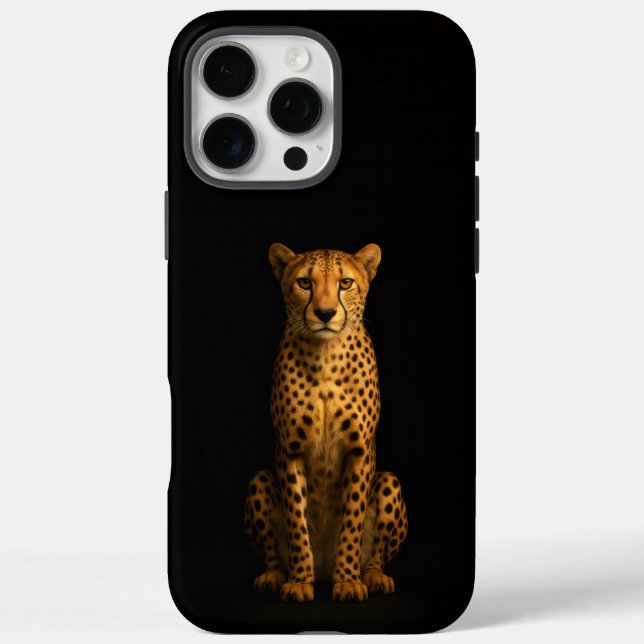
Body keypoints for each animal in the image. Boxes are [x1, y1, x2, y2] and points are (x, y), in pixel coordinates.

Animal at [244, 243, 408, 603]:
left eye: (345, 283)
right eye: (305, 283)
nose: (325, 313)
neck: (326, 355)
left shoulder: (359, 451)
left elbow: (352, 518)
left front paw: (347, 580)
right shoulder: (290, 450)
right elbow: (297, 519)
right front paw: (299, 581)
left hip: (389, 481)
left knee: (376, 556)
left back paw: (373, 577)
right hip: (260, 478)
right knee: (272, 553)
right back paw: (274, 576)